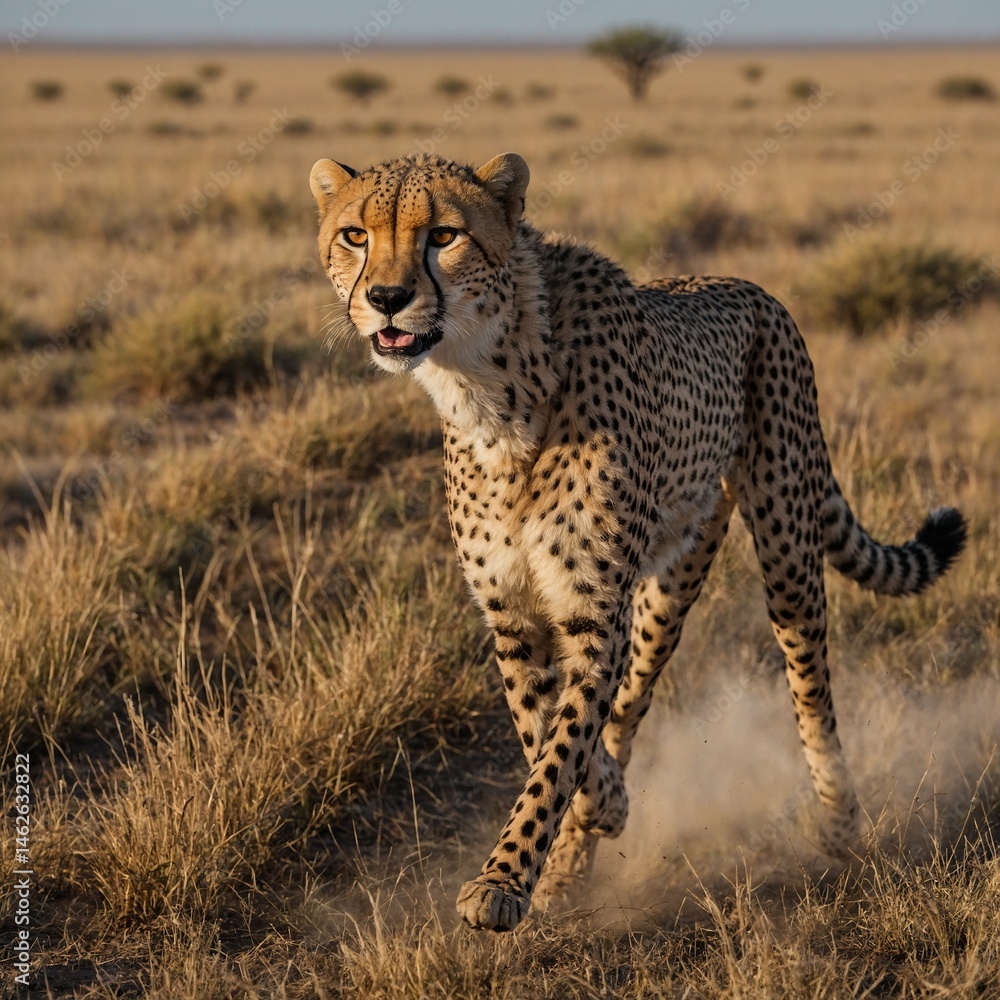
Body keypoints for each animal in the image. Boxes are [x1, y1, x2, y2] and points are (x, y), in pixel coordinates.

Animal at [308, 151, 967, 932]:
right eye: (355, 235)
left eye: (443, 235)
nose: (385, 297)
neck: (488, 382)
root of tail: (748, 286)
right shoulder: (515, 613)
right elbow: (547, 732)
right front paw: (586, 824)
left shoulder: (594, 608)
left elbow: (561, 749)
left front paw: (503, 881)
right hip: (670, 584)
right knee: (628, 706)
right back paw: (574, 863)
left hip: (777, 553)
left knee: (808, 688)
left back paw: (839, 824)